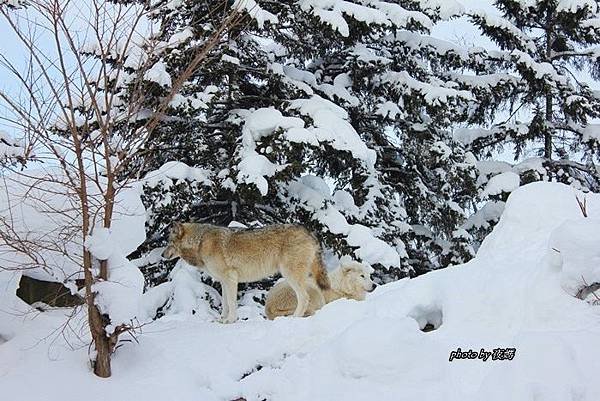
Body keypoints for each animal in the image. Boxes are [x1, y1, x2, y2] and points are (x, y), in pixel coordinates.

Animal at [162, 222, 328, 322]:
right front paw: (222, 320)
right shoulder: (223, 282)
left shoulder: (230, 278)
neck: (200, 242)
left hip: (290, 275)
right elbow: (225, 304)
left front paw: (230, 321)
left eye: (169, 242)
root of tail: (309, 232)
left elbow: (231, 302)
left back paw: (294, 318)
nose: (162, 255)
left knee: (304, 298)